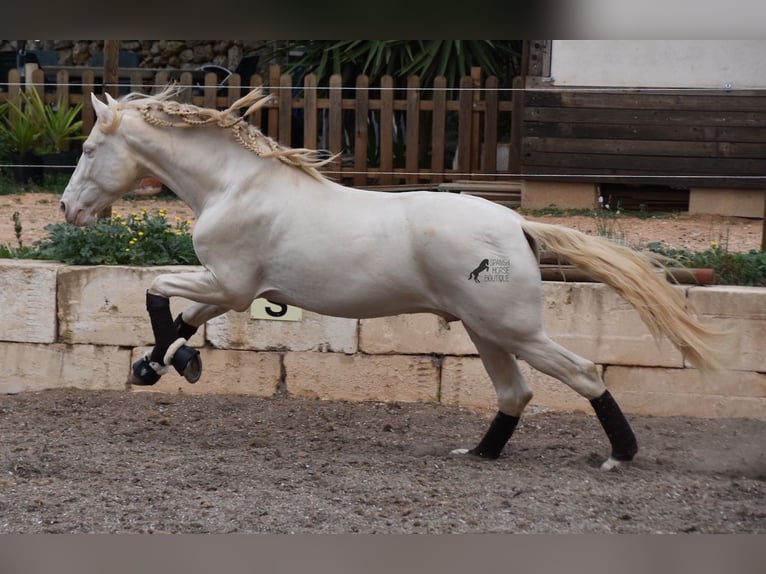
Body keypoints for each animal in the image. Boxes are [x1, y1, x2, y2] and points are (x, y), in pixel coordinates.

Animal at [60, 86, 732, 472]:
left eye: (89, 149)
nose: (68, 210)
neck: (237, 185)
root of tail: (517, 223)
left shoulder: (230, 284)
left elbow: (157, 291)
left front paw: (161, 364)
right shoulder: (229, 290)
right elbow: (178, 320)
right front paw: (162, 364)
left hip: (512, 329)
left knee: (584, 374)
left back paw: (620, 456)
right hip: (487, 331)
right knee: (515, 393)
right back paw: (479, 453)